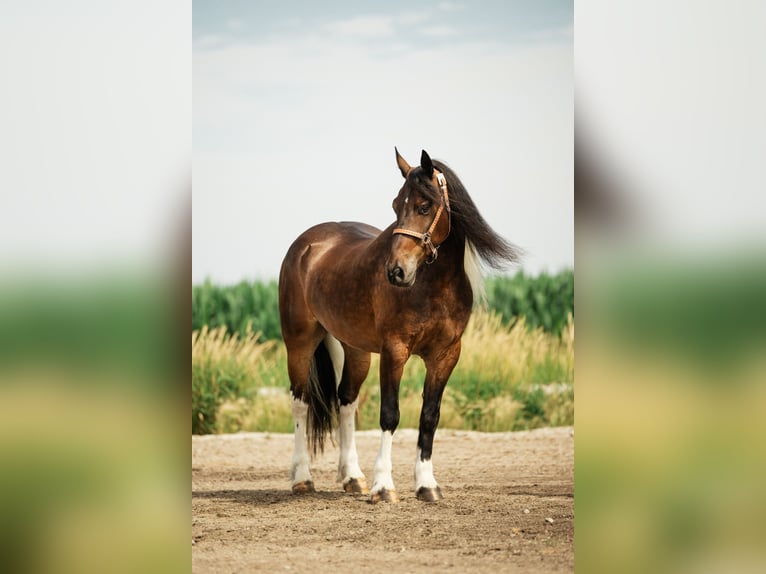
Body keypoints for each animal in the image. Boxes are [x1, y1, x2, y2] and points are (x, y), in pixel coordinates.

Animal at [278, 148, 520, 503]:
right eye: (395, 205)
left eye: (424, 206)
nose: (396, 272)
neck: (433, 287)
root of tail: (307, 244)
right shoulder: (395, 351)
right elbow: (389, 414)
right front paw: (383, 487)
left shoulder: (446, 355)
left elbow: (429, 416)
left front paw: (427, 485)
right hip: (299, 341)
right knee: (300, 402)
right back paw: (302, 478)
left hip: (356, 350)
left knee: (346, 401)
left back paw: (353, 477)